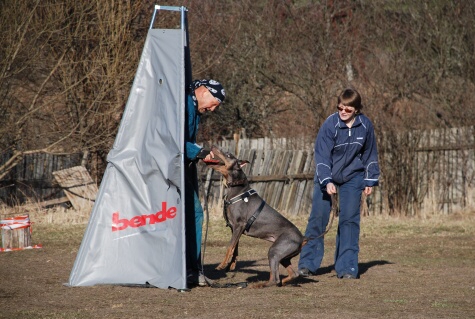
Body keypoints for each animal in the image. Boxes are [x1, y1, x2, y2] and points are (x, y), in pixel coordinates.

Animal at [204, 146, 306, 288]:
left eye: (228, 155)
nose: (213, 147)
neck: (236, 188)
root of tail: (302, 238)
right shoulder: (235, 229)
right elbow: (235, 248)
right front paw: (231, 265)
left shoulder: (239, 225)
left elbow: (229, 247)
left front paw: (222, 265)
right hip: (283, 255)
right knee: (293, 274)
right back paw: (282, 282)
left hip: (275, 251)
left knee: (275, 278)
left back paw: (261, 285)